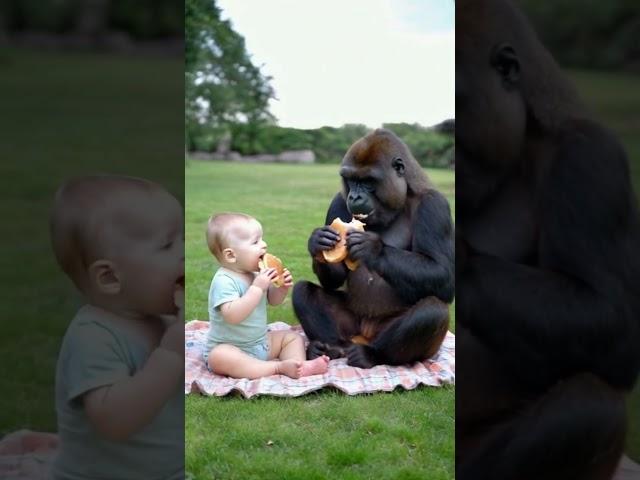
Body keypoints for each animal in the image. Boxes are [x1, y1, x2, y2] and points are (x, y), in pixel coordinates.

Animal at [292, 127, 456, 368]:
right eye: (351, 180)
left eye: (368, 181)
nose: (354, 196)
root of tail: (364, 336)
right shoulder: (338, 201)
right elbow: (333, 278)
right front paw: (317, 243)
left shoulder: (435, 206)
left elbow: (443, 275)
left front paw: (373, 249)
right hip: (353, 328)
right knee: (302, 291)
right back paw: (332, 346)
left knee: (433, 310)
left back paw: (373, 355)